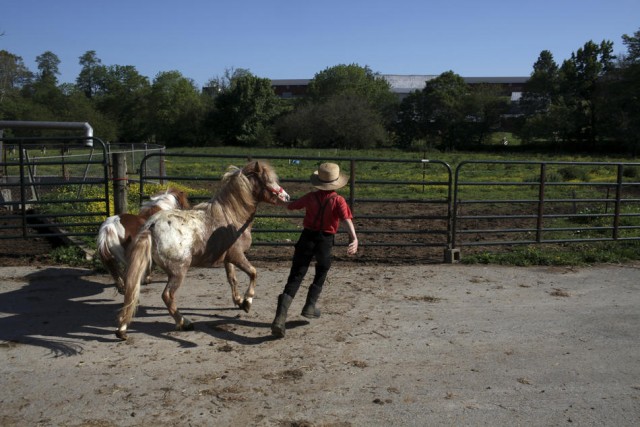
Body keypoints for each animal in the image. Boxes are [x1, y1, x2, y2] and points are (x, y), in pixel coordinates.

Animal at [116, 161, 292, 342]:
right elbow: (253, 273)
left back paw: (122, 329)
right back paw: (184, 323)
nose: (287, 197)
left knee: (131, 293)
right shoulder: (237, 255)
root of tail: (152, 226)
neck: (232, 216)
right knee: (167, 296)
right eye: (268, 180)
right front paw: (247, 302)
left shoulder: (228, 258)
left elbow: (232, 279)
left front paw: (238, 300)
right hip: (178, 272)